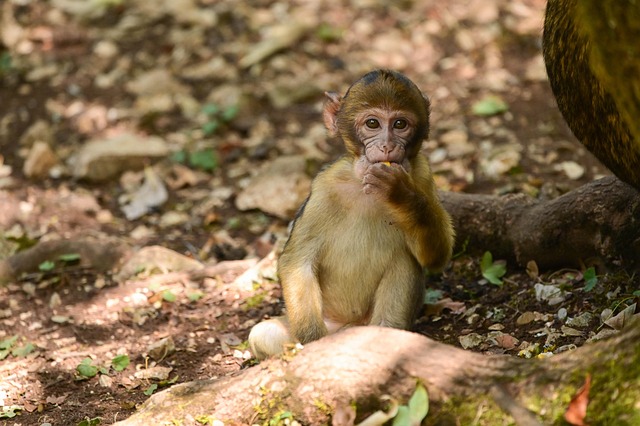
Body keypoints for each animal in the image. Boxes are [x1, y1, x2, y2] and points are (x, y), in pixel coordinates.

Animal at [249, 69, 454, 359]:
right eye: (372, 123)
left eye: (400, 124)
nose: (387, 146)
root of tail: (348, 325)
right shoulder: (324, 187)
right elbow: (297, 262)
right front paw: (316, 344)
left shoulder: (423, 174)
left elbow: (436, 257)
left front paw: (399, 193)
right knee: (264, 334)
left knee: (406, 259)